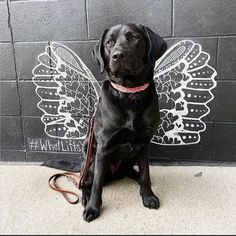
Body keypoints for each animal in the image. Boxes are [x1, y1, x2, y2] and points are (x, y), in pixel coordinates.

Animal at [81, 23, 168, 222]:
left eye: (134, 37)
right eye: (109, 42)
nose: (118, 55)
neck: (130, 94)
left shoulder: (144, 144)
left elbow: (146, 174)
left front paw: (148, 196)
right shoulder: (103, 147)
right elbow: (97, 185)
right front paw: (93, 208)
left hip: (132, 157)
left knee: (134, 171)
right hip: (90, 161)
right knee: (85, 183)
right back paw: (85, 197)